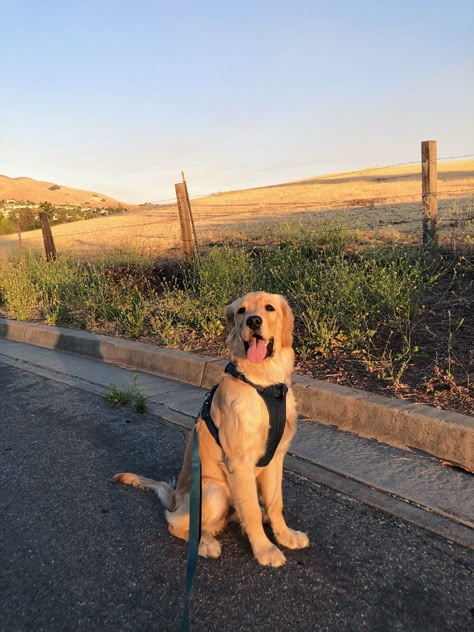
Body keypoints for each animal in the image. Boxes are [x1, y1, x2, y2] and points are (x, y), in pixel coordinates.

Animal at [113, 292, 310, 568]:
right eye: (241, 311)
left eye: (269, 308)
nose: (253, 321)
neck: (264, 383)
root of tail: (176, 498)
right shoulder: (239, 461)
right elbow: (250, 510)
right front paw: (265, 550)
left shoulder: (276, 457)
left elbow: (275, 503)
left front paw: (285, 535)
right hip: (213, 490)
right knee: (177, 523)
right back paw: (205, 543)